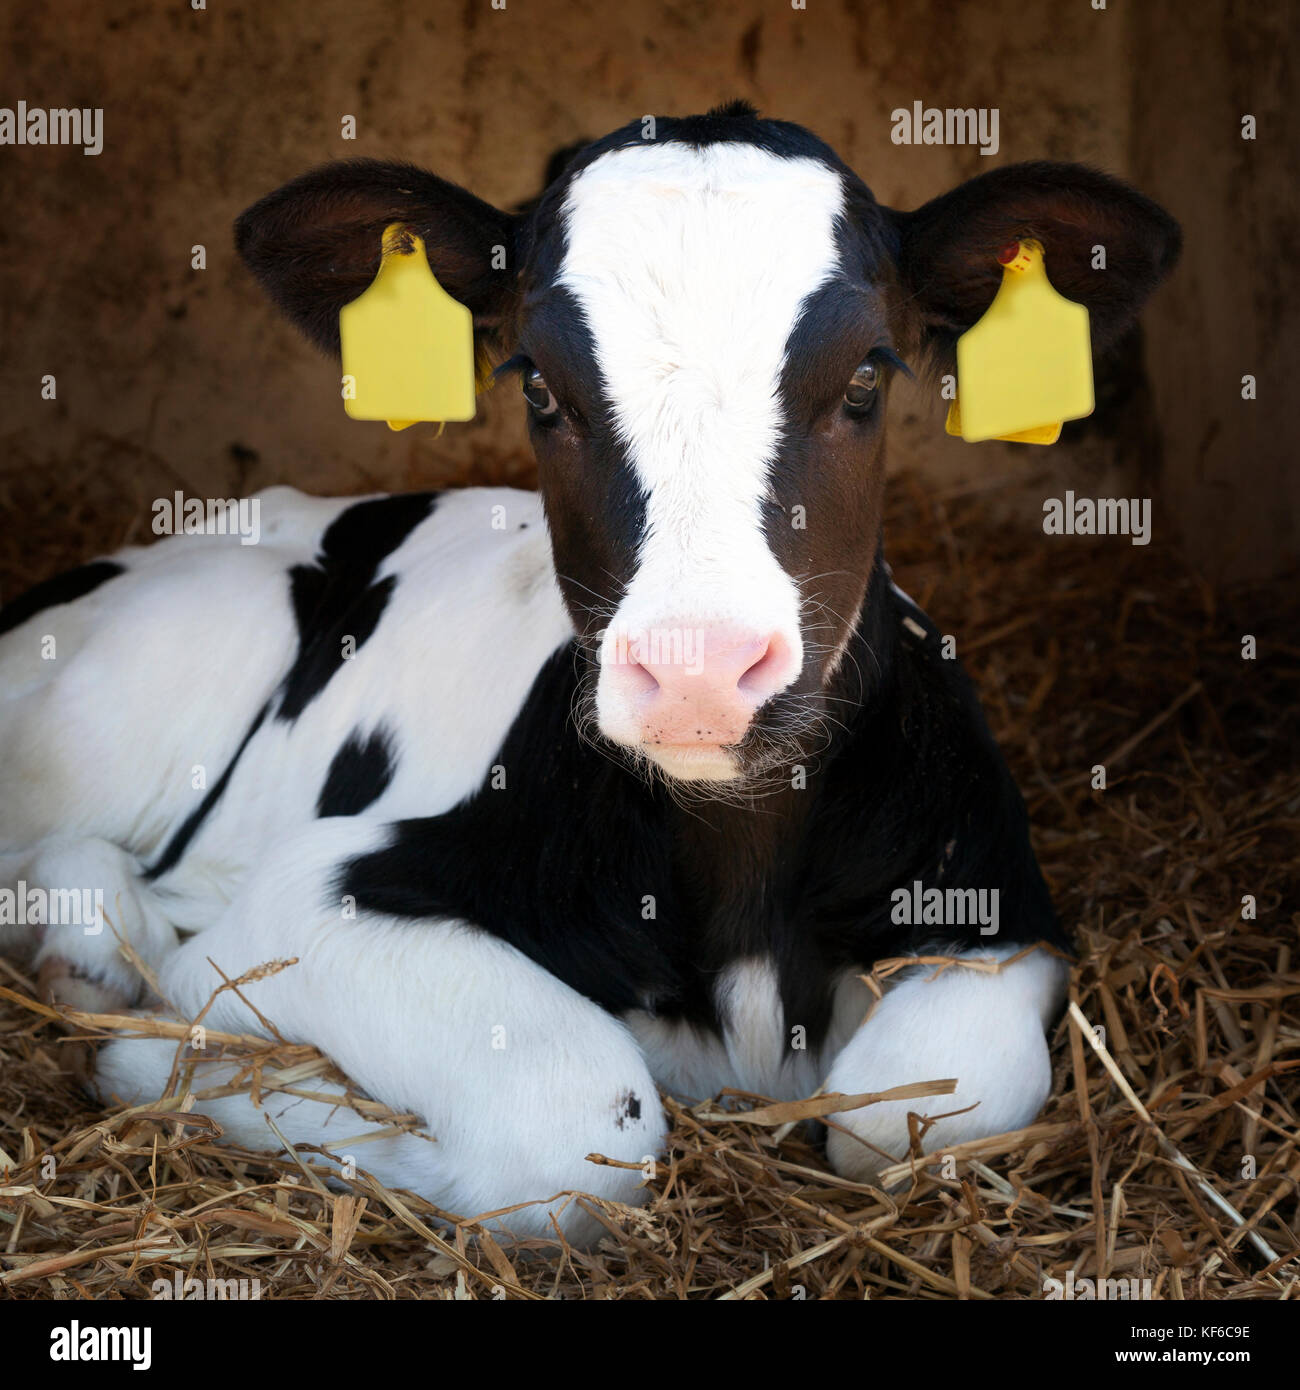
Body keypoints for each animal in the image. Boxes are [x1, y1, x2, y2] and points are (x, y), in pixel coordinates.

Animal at [0, 103, 1179, 1245]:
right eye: (540, 385)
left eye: (864, 377)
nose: (700, 672)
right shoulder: (308, 898)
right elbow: (572, 1125)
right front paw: (161, 1059)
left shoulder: (998, 906)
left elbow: (912, 1113)